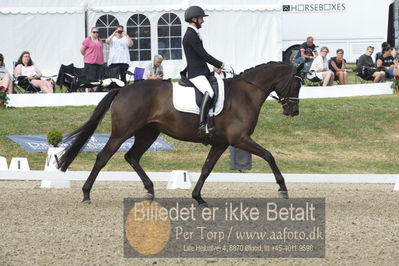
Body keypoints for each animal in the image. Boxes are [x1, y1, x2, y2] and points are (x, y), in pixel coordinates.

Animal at [57, 61, 304, 206]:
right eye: (297, 84)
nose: (293, 111)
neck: (246, 93)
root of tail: (122, 88)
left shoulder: (222, 143)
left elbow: (206, 169)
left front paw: (198, 197)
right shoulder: (239, 139)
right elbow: (269, 155)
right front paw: (283, 189)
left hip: (148, 134)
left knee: (132, 157)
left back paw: (149, 191)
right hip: (122, 132)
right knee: (103, 157)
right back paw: (86, 194)